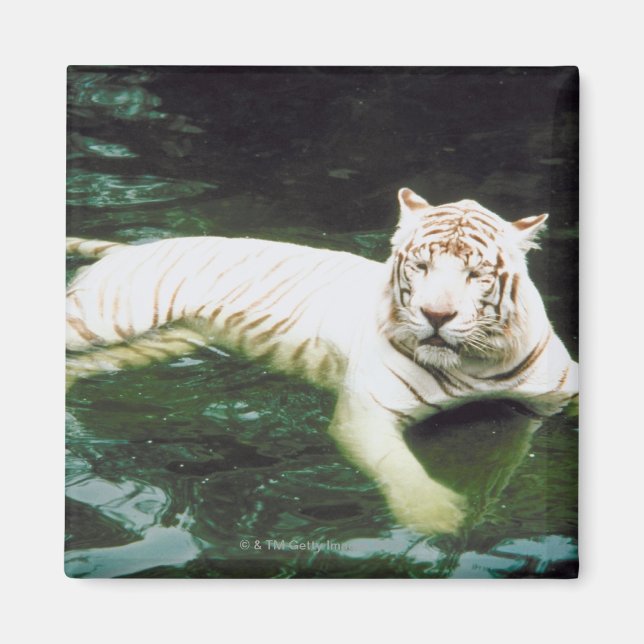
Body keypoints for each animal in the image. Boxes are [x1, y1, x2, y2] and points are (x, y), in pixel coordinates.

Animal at [66, 188, 578, 535]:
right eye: (421, 267)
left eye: (476, 274)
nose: (436, 315)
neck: (475, 363)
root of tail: (131, 247)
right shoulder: (367, 413)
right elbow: (401, 468)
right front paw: (436, 516)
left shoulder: (555, 395)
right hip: (104, 319)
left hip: (163, 343)